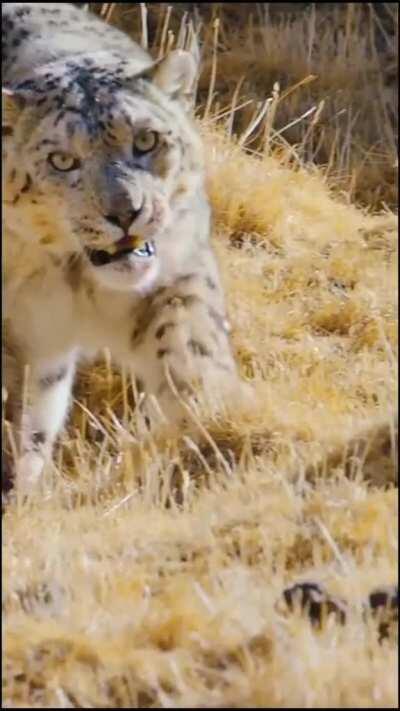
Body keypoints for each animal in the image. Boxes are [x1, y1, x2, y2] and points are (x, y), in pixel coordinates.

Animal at [2, 2, 243, 494]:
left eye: (146, 139)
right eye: (62, 160)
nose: (127, 213)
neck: (72, 281)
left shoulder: (176, 272)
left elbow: (190, 344)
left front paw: (213, 424)